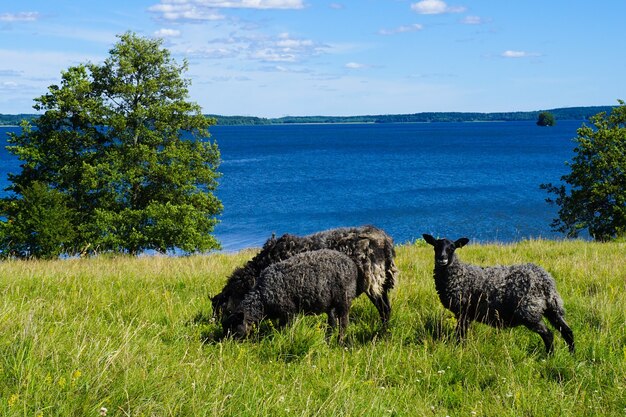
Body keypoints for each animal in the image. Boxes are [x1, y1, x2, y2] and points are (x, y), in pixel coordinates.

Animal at [210, 224, 394, 324]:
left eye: (224, 309)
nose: (216, 326)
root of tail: (385, 240)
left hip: (373, 282)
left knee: (384, 309)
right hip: (382, 282)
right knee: (387, 308)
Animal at [223, 249, 358, 342]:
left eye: (234, 329)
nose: (227, 345)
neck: (262, 298)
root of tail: (350, 263)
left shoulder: (288, 312)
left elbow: (285, 329)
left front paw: (284, 339)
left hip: (344, 299)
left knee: (344, 322)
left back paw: (340, 340)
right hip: (330, 303)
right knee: (332, 321)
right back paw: (328, 339)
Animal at [422, 232, 572, 352]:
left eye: (452, 247)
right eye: (435, 246)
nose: (442, 258)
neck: (459, 274)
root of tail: (545, 280)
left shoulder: (463, 311)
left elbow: (460, 334)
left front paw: (459, 349)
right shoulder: (465, 313)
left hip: (529, 311)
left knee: (548, 334)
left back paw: (549, 356)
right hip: (552, 308)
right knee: (567, 331)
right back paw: (571, 354)